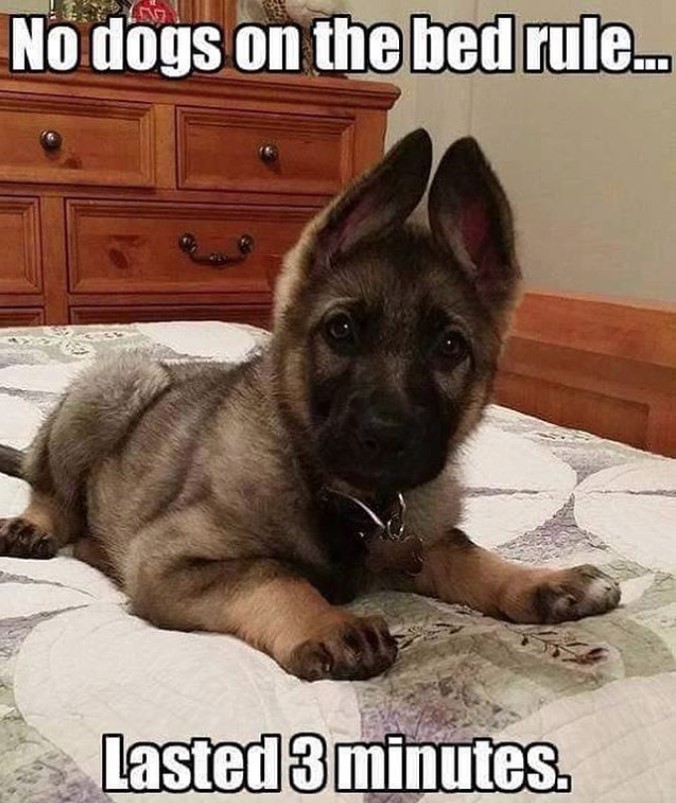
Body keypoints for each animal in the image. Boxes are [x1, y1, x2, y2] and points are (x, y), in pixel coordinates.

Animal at [0, 132, 616, 680]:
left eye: (449, 347)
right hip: (118, 381)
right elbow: (271, 573)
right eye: (340, 330)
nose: (385, 436)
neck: (348, 500)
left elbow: (464, 551)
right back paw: (37, 525)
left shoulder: (417, 542)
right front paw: (328, 624)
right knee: (52, 488)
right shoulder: (166, 560)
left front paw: (545, 581)